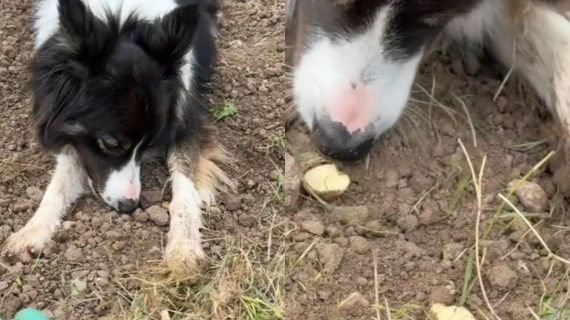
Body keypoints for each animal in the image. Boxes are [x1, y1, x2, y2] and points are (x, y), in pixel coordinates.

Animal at [1, 0, 233, 274]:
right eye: (111, 143)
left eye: (149, 144)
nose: (130, 206)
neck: (124, 14)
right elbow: (61, 181)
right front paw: (32, 230)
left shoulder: (185, 114)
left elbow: (184, 182)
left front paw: (183, 247)